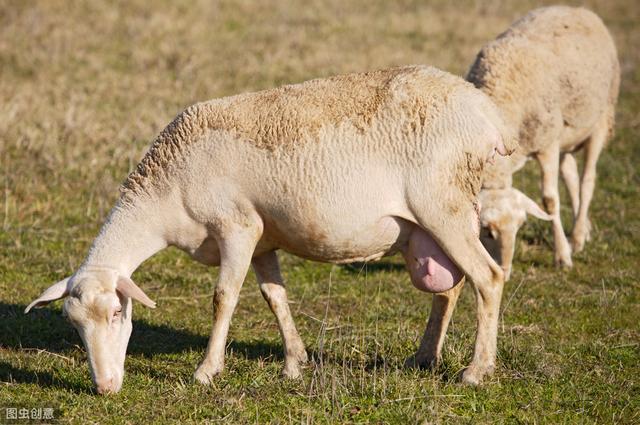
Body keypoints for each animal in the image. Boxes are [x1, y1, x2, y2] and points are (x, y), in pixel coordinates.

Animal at [25, 64, 516, 392]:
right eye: (72, 324)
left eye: (115, 314)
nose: (104, 387)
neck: (166, 195)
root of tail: (486, 114)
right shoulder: (262, 238)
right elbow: (274, 296)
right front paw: (294, 362)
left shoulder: (236, 227)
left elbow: (224, 297)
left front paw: (207, 370)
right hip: (435, 222)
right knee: (451, 287)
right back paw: (425, 357)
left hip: (444, 204)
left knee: (488, 279)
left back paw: (476, 371)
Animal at [464, 6, 620, 280]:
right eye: (487, 230)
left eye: (520, 227)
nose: (504, 272)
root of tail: (577, 9)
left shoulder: (547, 144)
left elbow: (550, 200)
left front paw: (563, 256)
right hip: (566, 134)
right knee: (570, 175)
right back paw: (583, 230)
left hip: (600, 119)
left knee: (587, 180)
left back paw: (576, 237)